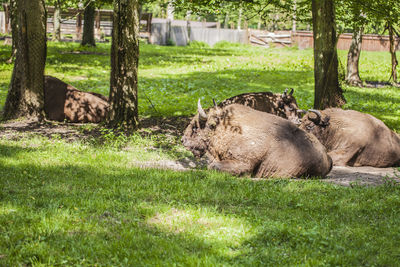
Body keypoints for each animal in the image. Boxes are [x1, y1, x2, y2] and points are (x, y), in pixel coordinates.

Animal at [182, 101, 332, 179]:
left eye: (195, 127)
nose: (183, 140)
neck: (224, 128)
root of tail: (326, 157)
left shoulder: (243, 162)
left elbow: (213, 166)